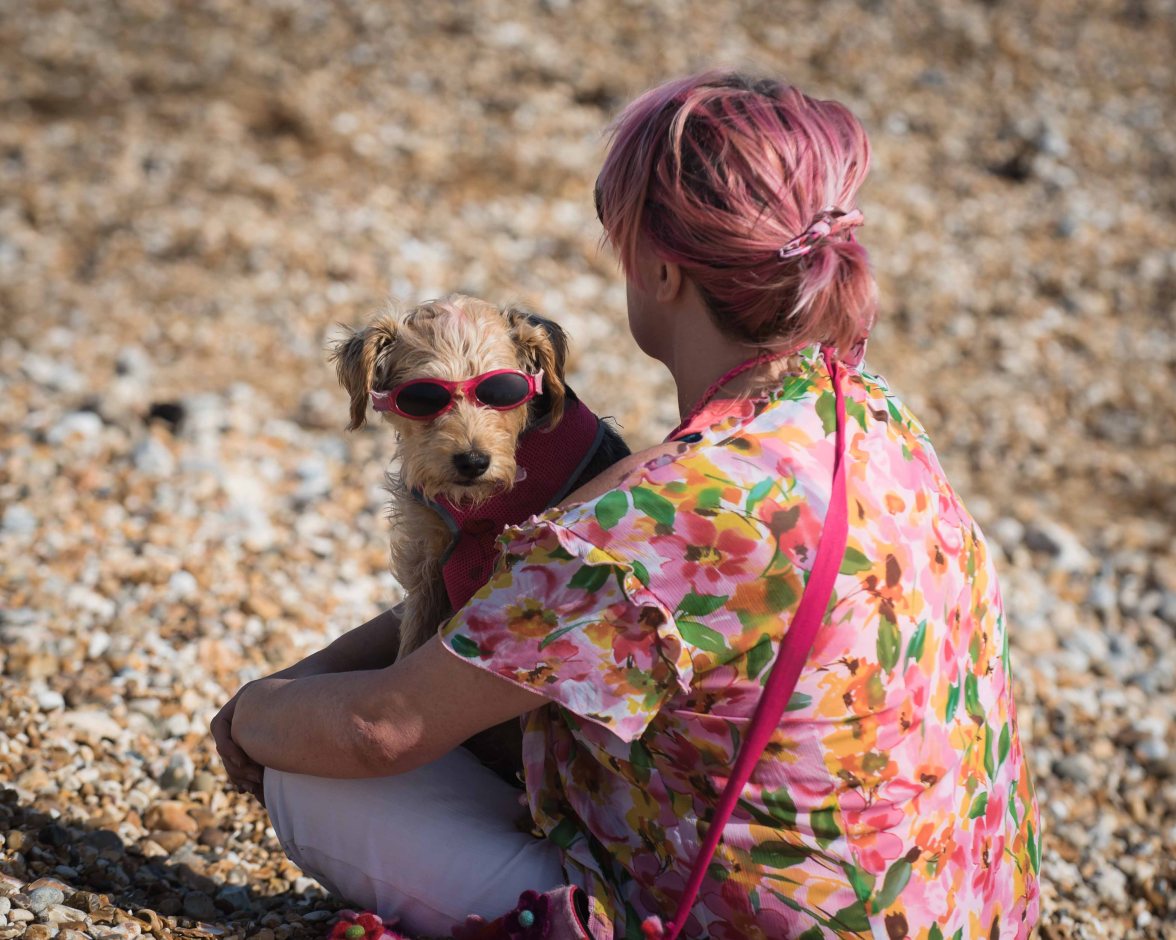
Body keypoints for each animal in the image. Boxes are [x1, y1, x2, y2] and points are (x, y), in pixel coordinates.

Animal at [330, 294, 629, 781]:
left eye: (504, 392)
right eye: (422, 398)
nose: (472, 461)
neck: (481, 507)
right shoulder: (428, 569)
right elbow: (408, 651)